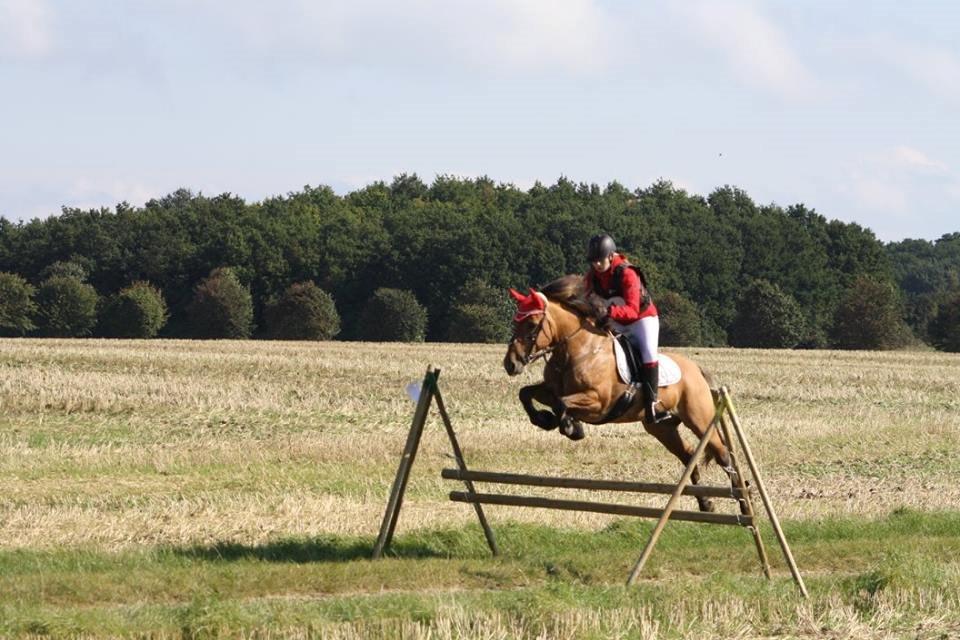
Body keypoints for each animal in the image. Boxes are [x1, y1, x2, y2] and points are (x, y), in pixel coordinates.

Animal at [502, 274, 736, 510]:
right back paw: (706, 503)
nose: (510, 364)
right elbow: (526, 394)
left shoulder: (598, 403)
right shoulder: (551, 389)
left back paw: (742, 500)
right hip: (662, 428)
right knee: (688, 455)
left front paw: (571, 427)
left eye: (531, 324)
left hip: (699, 419)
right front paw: (545, 419)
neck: (578, 350)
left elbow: (561, 403)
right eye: (515, 322)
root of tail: (696, 369)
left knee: (723, 454)